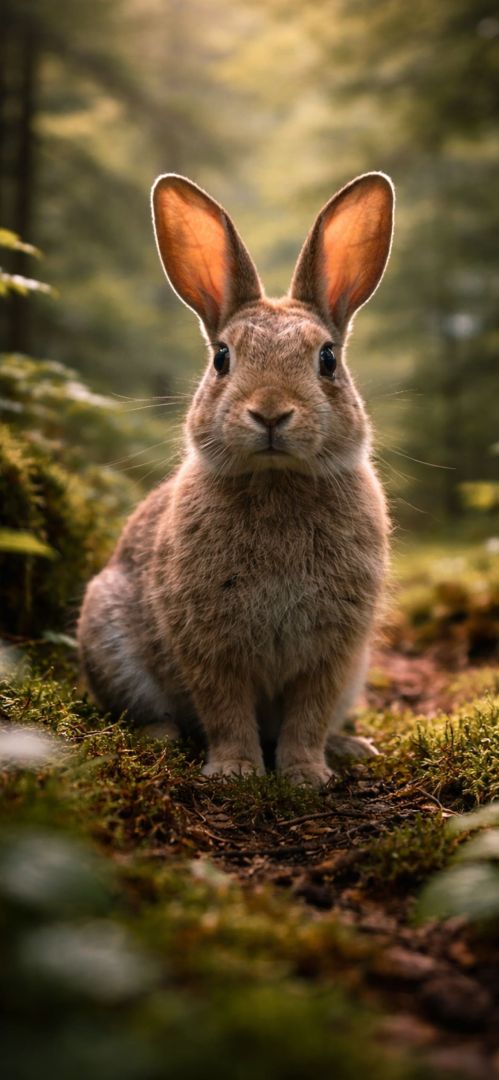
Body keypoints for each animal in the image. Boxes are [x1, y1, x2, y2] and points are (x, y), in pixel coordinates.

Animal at [77, 170, 394, 787]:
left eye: (328, 359)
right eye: (222, 357)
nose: (270, 413)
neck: (276, 480)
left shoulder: (335, 650)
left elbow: (309, 714)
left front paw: (305, 774)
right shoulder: (206, 638)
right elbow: (224, 706)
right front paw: (236, 771)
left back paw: (350, 747)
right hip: (108, 637)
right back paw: (162, 737)